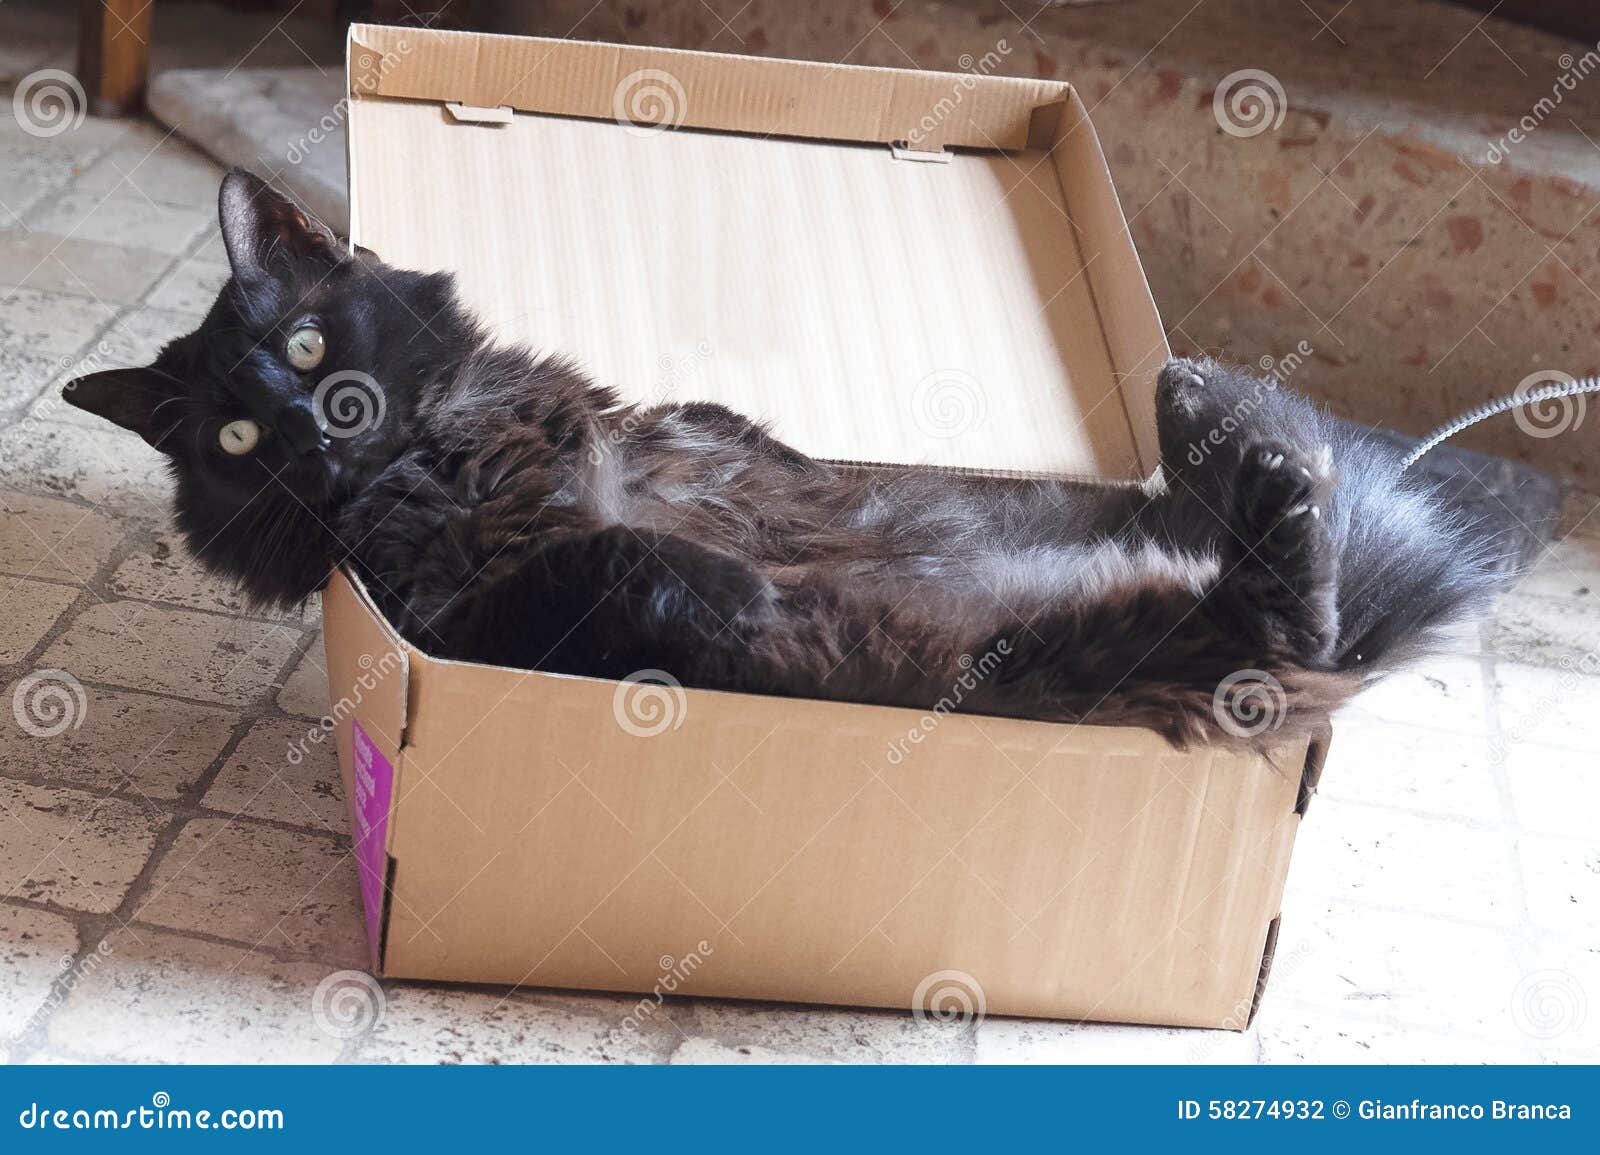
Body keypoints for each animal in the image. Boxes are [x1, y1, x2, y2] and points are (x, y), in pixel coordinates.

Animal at [62, 171, 1504, 745]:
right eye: (239, 437)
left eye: (307, 344)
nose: (315, 424)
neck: (451, 444)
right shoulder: (462, 618)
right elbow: (624, 561)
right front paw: (738, 586)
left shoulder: (675, 428)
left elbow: (727, 444)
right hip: (1141, 657)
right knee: (1291, 623)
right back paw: (1248, 453)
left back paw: (1204, 406)